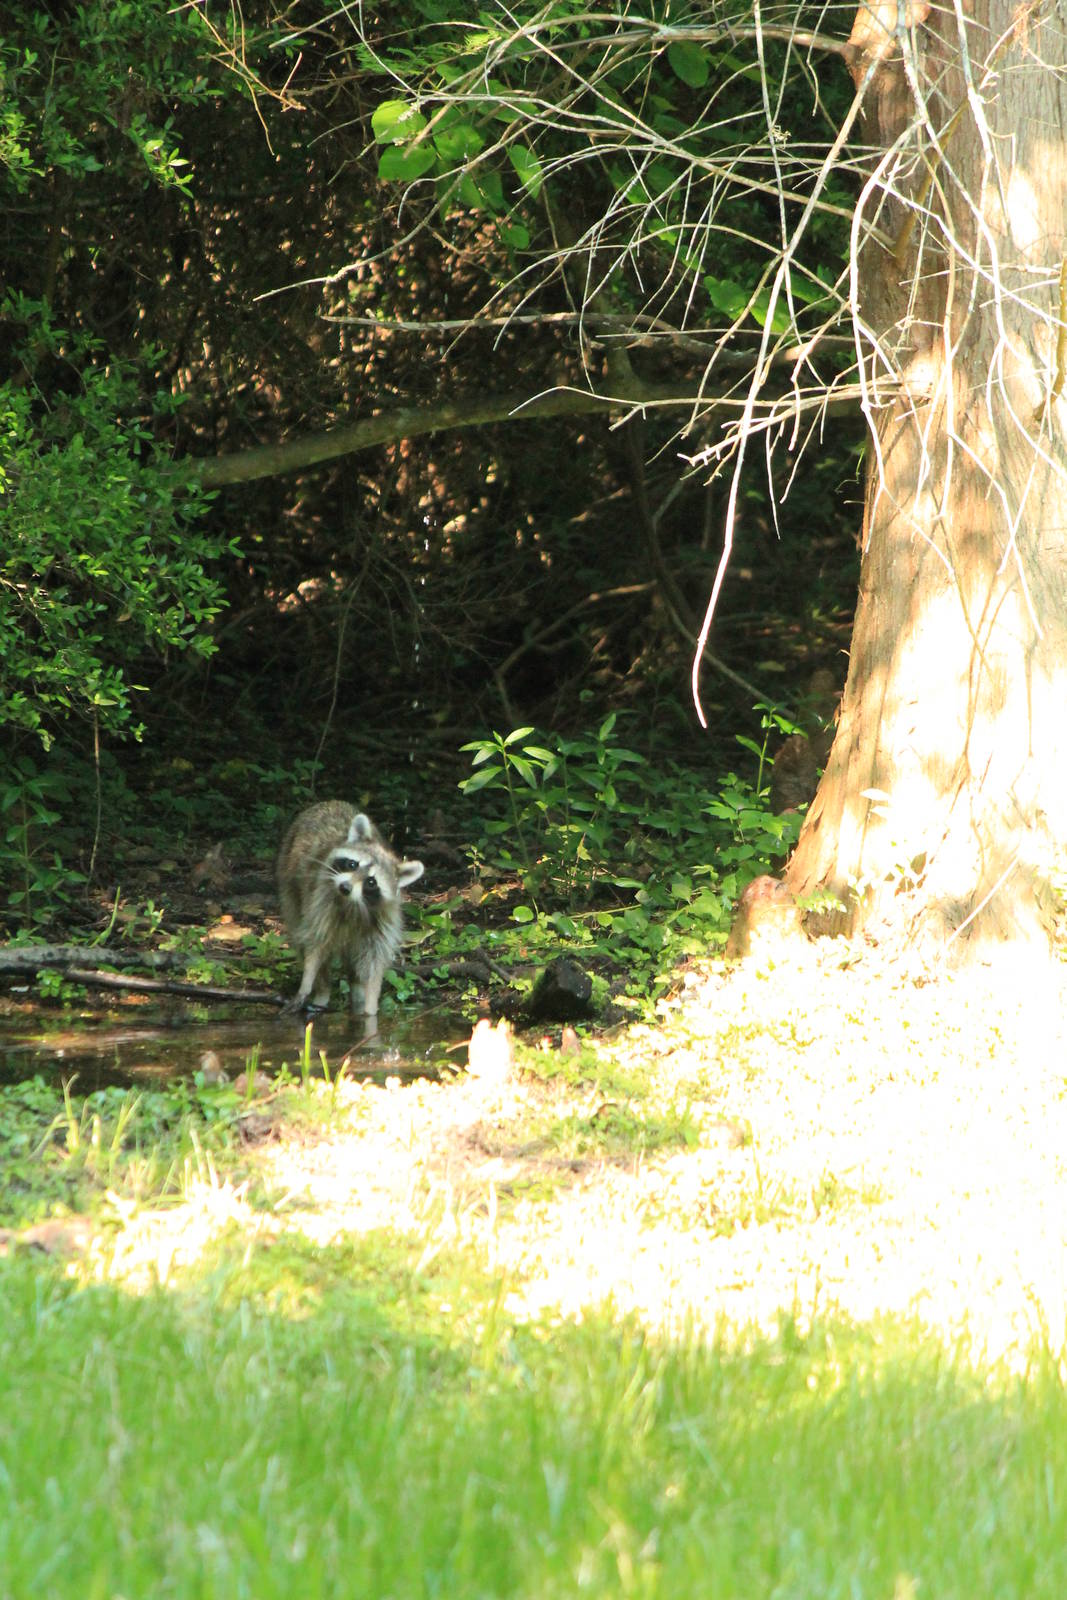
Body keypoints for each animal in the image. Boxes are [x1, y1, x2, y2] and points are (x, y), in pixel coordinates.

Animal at [277, 801, 424, 1018]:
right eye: (352, 864)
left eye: (371, 882)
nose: (345, 887)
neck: (352, 903)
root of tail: (328, 802)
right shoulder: (321, 898)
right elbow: (315, 945)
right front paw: (307, 982)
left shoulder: (383, 917)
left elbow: (373, 962)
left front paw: (370, 1007)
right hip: (289, 879)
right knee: (301, 932)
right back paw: (322, 990)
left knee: (356, 964)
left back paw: (357, 996)